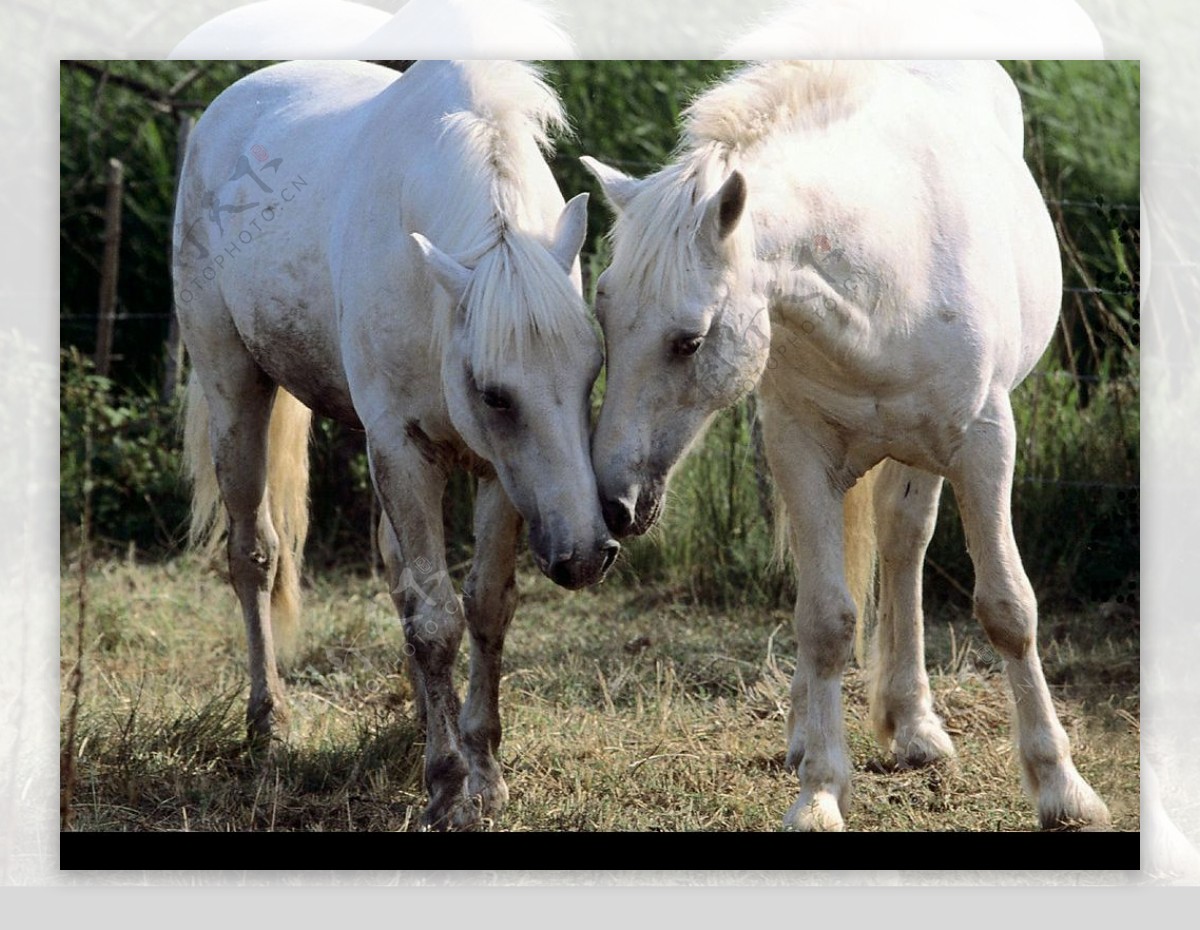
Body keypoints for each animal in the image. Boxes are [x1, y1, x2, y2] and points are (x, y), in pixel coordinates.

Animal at [175, 58, 619, 830]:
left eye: (593, 369)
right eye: (494, 393)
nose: (588, 553)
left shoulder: (501, 475)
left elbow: (482, 604)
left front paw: (484, 769)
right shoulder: (405, 449)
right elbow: (436, 619)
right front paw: (446, 786)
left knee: (397, 575)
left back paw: (419, 720)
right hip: (235, 390)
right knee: (254, 555)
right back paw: (269, 723)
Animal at [585, 60, 1108, 830]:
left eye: (689, 341)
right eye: (602, 318)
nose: (613, 504)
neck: (884, 274)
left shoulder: (985, 444)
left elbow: (1008, 609)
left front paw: (1061, 786)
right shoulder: (799, 451)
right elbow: (826, 620)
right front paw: (821, 791)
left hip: (924, 455)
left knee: (904, 540)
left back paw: (916, 727)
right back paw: (817, 732)